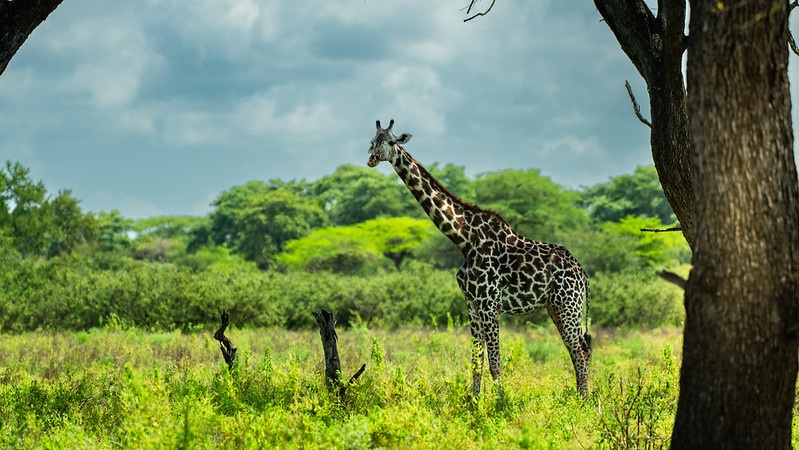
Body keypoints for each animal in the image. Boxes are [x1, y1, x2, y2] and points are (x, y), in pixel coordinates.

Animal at [366, 118, 592, 398]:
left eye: (391, 141)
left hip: (569, 304)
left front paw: (500, 403)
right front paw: (474, 403)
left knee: (580, 352)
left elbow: (495, 362)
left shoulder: (489, 303)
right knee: (579, 350)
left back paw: (585, 402)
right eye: (372, 141)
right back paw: (581, 399)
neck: (464, 238)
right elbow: (476, 361)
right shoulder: (471, 303)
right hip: (556, 306)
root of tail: (583, 273)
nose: (372, 159)